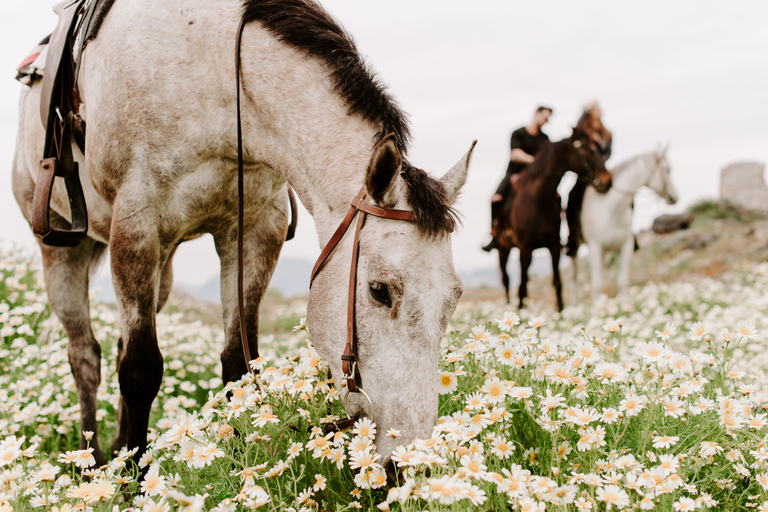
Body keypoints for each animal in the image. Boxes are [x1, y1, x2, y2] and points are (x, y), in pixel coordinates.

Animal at [12, 0, 472, 468]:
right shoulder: (135, 225)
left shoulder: (255, 229)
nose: (407, 462)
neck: (212, 71)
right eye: (379, 290)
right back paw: (93, 461)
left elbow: (238, 365)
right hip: (65, 253)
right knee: (85, 356)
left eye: (455, 296)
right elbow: (139, 370)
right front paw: (132, 477)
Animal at [498, 128, 612, 312]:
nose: (608, 181)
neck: (538, 201)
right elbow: (521, 285)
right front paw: (521, 312)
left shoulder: (554, 247)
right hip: (503, 249)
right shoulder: (525, 249)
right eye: (587, 150)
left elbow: (557, 282)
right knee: (507, 280)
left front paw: (561, 311)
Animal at [568, 146, 676, 300]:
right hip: (575, 247)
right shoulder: (595, 247)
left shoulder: (625, 245)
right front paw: (596, 305)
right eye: (667, 169)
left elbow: (622, 281)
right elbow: (596, 284)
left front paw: (624, 303)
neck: (613, 209)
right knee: (574, 278)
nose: (675, 197)